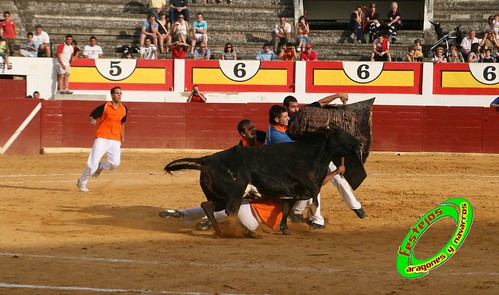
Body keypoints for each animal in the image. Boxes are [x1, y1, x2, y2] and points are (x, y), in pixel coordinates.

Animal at [166, 128, 366, 237]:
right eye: (339, 132)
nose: (359, 143)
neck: (315, 155)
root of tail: (207, 159)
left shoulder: (291, 193)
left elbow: (286, 209)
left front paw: (285, 228)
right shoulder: (300, 178)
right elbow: (314, 192)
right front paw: (312, 213)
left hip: (220, 196)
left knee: (207, 205)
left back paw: (220, 231)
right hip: (235, 193)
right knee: (231, 211)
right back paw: (246, 232)